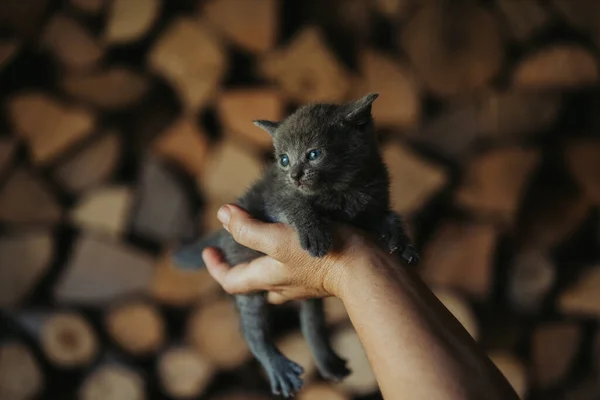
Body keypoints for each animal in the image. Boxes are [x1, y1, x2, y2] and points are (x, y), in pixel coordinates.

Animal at [173, 93, 418, 396]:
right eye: (284, 159)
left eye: (313, 154)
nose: (294, 175)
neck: (342, 191)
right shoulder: (276, 198)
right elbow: (296, 204)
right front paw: (314, 233)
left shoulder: (374, 201)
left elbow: (389, 215)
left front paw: (400, 240)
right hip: (246, 279)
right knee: (252, 329)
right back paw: (278, 367)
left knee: (311, 320)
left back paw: (328, 362)